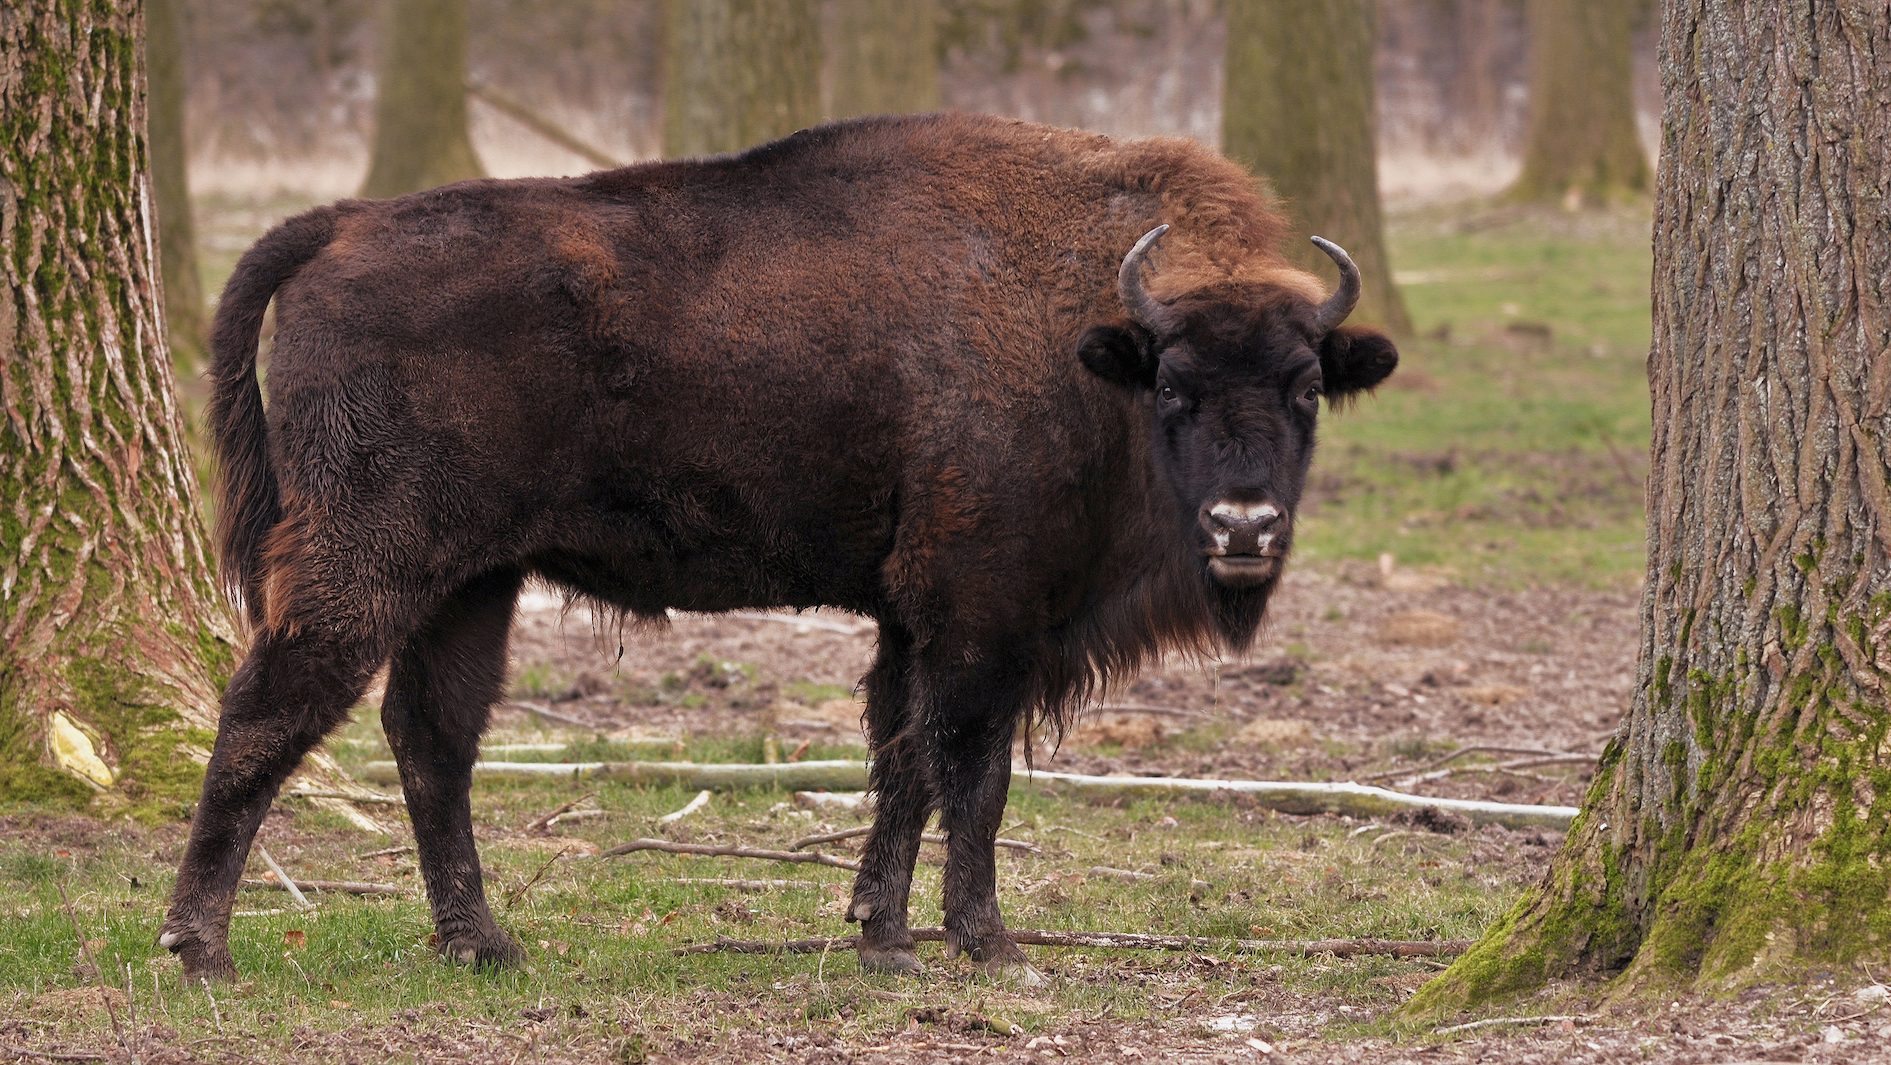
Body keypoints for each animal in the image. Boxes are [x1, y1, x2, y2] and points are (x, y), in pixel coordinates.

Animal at [162, 110, 1399, 983]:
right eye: (1176, 387)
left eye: (1304, 389)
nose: (1244, 527)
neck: (1091, 341)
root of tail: (345, 222)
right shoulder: (979, 612)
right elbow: (975, 772)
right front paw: (991, 946)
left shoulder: (910, 618)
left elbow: (903, 764)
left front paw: (882, 939)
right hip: (370, 560)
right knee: (269, 710)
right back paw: (201, 947)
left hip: (474, 581)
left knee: (431, 739)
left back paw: (484, 944)